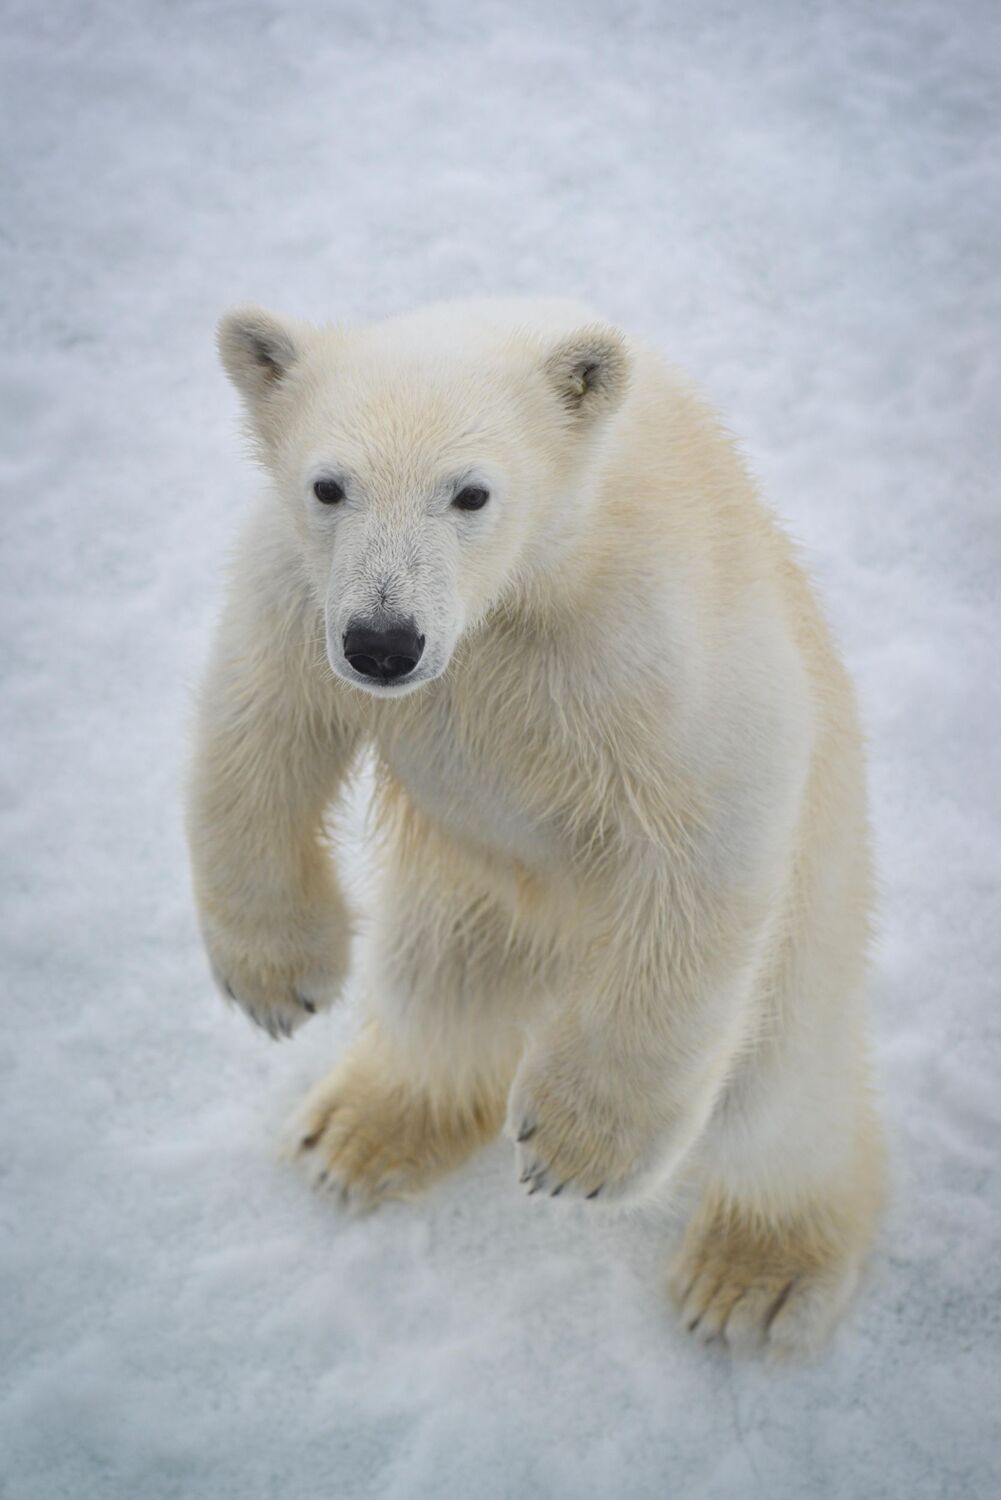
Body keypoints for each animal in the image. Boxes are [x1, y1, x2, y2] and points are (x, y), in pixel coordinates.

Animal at [186, 295, 882, 1362]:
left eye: (470, 493)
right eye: (329, 484)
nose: (384, 643)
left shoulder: (646, 627)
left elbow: (710, 824)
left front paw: (574, 1151)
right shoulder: (299, 586)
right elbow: (258, 729)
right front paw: (277, 980)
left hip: (813, 929)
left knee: (780, 1101)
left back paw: (753, 1277)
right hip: (465, 898)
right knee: (436, 997)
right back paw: (358, 1132)